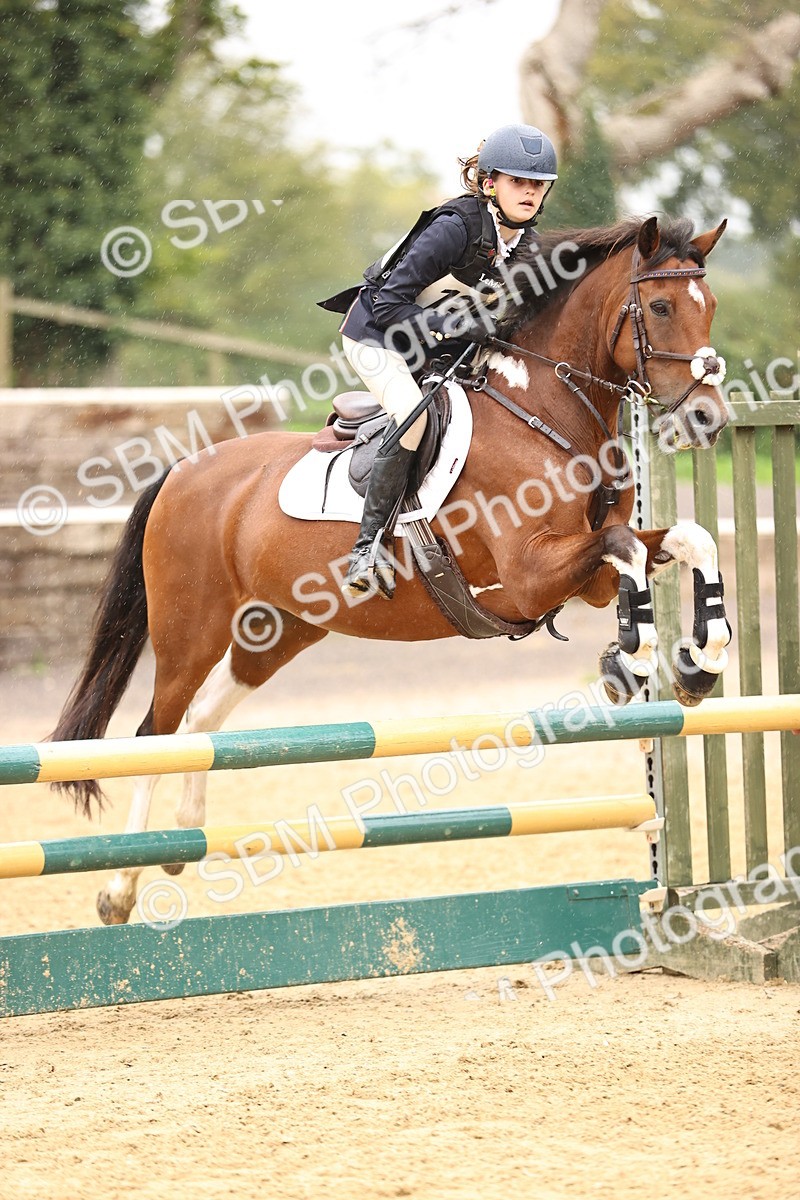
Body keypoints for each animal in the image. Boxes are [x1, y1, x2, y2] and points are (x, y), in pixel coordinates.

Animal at [51, 214, 732, 925]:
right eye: (660, 307)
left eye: (710, 306)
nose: (709, 419)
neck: (546, 413)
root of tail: (183, 469)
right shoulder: (529, 573)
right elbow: (626, 547)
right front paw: (632, 659)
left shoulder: (586, 576)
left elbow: (687, 540)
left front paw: (695, 665)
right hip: (191, 629)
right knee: (154, 730)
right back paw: (120, 888)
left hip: (279, 629)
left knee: (201, 723)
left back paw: (182, 842)